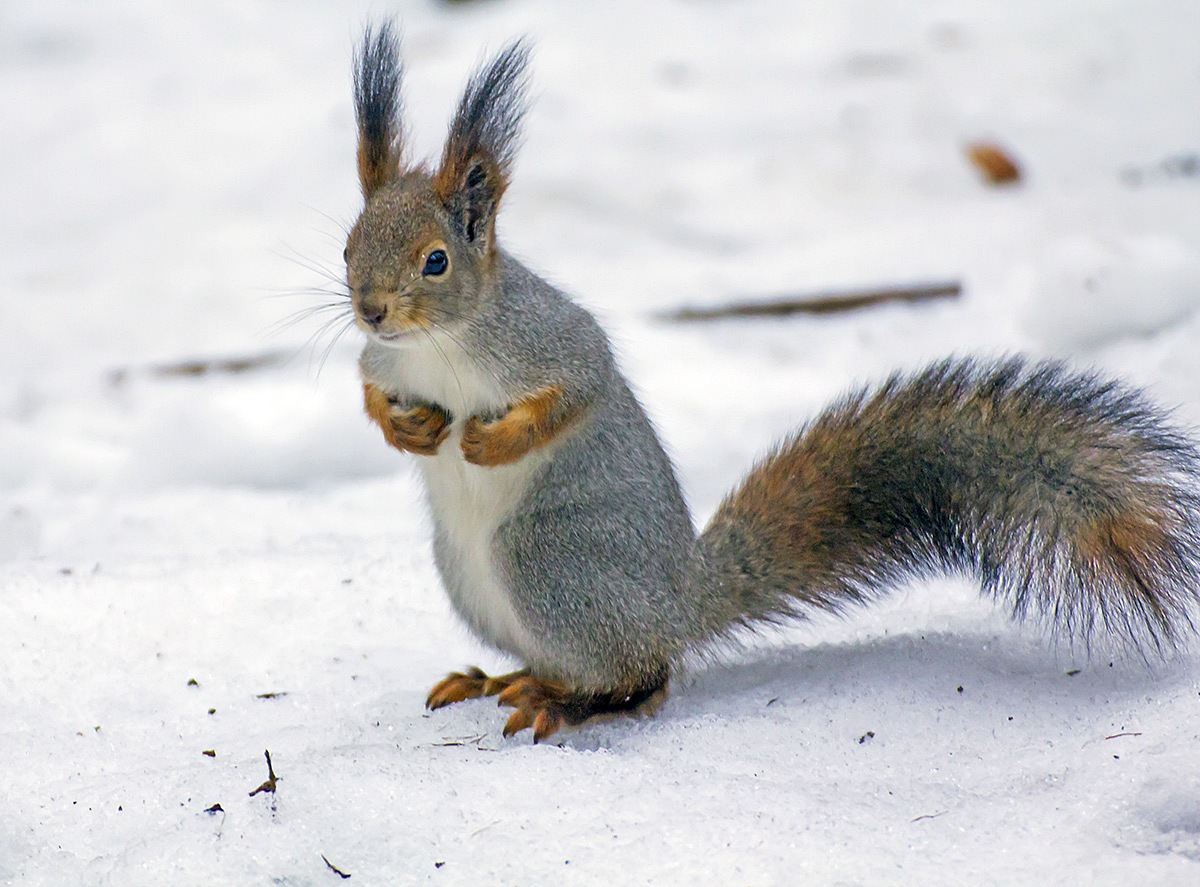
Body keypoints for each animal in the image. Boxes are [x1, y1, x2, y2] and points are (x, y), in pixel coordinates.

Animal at [340, 22, 1200, 744]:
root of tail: (678, 603)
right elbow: (368, 388)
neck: (435, 343)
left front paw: (490, 442)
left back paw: (566, 702)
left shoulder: (549, 339)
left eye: (436, 261)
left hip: (549, 560)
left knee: (643, 678)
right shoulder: (383, 360)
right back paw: (499, 677)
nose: (370, 308)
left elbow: (577, 386)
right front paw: (405, 428)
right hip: (468, 573)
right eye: (348, 244)